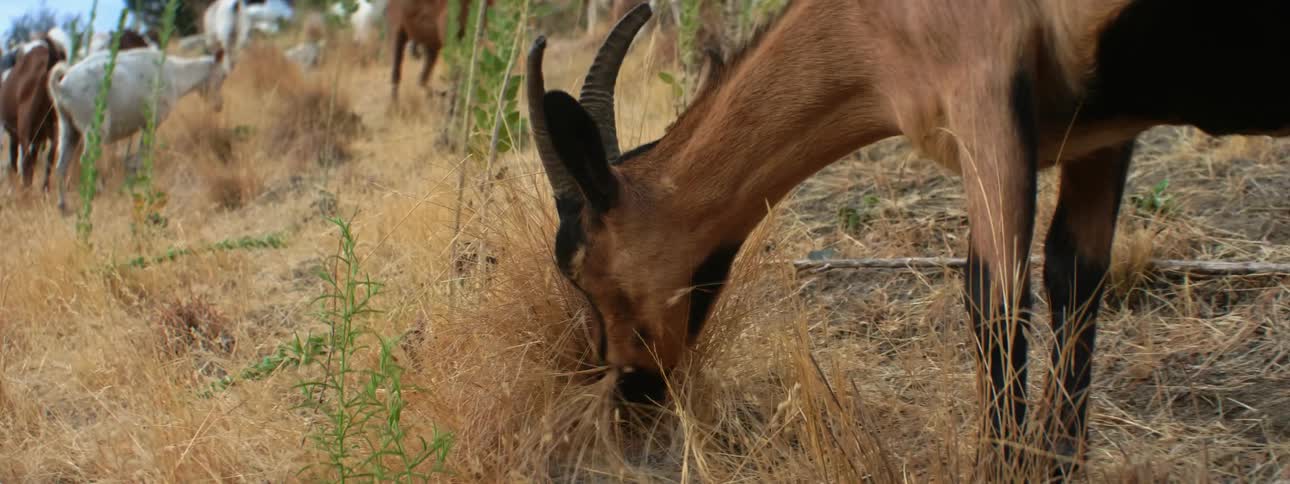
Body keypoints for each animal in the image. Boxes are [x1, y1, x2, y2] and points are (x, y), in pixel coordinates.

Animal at [0, 37, 66, 189]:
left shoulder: (21, 133)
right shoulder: (38, 137)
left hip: (26, 131)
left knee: (27, 160)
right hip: (49, 129)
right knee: (49, 157)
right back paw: (43, 188)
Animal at [48, 49, 227, 211]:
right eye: (223, 76)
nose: (219, 106)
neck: (176, 74)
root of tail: (62, 87)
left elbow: (132, 159)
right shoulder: (151, 123)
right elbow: (143, 155)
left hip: (68, 128)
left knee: (61, 166)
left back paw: (63, 206)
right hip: (95, 127)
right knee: (86, 159)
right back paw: (95, 191)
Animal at [527, 2, 1290, 480]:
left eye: (579, 267)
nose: (627, 390)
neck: (871, 22)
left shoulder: (984, 96)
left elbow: (993, 298)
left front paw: (1003, 467)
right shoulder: (1099, 130)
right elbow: (1076, 276)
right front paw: (1056, 464)